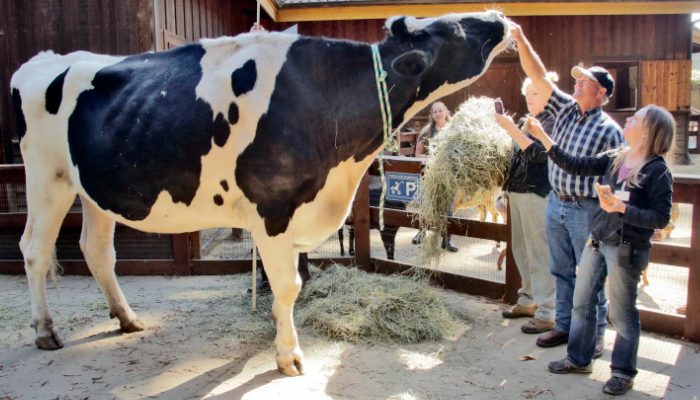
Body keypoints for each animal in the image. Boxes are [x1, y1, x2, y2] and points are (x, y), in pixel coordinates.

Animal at [10, 11, 512, 376]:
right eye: (454, 30)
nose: (499, 16)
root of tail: (43, 61)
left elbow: (294, 279)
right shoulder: (273, 208)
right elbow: (289, 285)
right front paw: (289, 356)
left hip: (93, 188)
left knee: (96, 250)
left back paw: (127, 318)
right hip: (47, 177)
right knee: (33, 249)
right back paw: (44, 331)